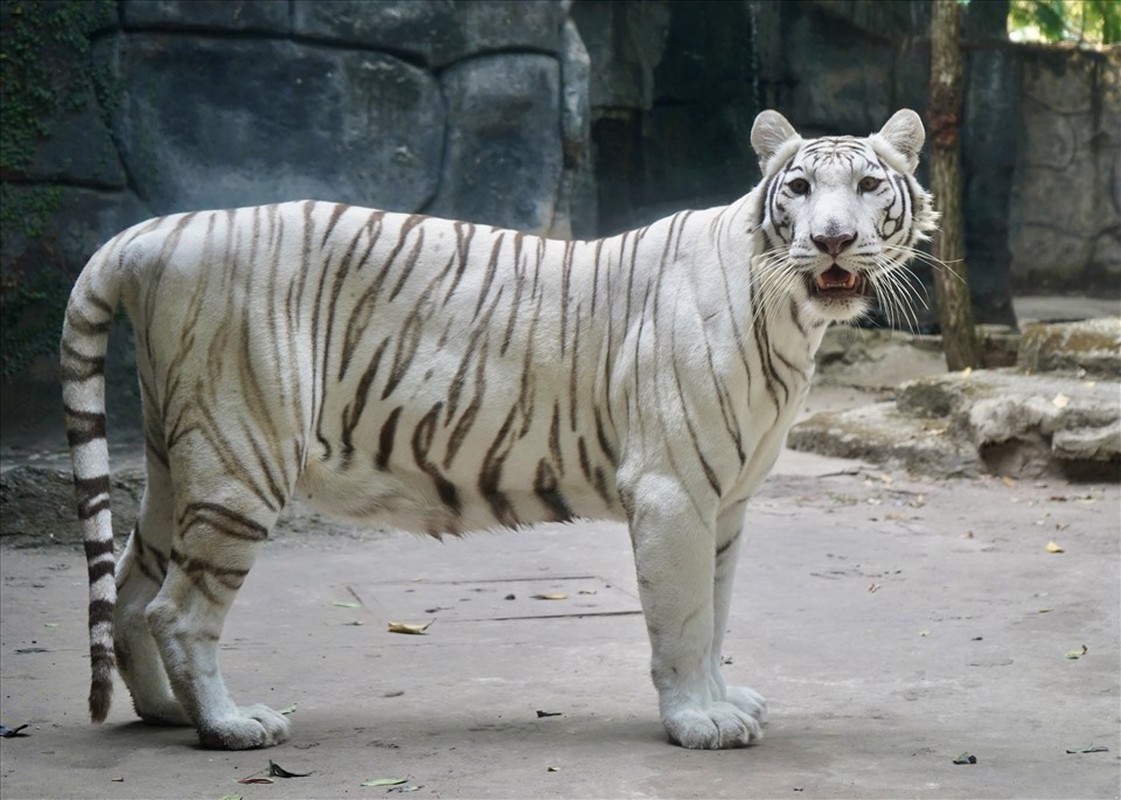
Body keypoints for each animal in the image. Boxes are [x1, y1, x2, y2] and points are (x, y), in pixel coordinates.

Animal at [61, 110, 937, 748]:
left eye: (867, 185)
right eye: (798, 187)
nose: (829, 239)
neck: (791, 316)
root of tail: (158, 231)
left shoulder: (724, 503)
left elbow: (714, 611)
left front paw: (725, 702)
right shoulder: (672, 492)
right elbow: (685, 619)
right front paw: (698, 721)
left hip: (182, 458)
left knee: (135, 588)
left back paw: (164, 712)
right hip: (244, 454)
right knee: (179, 609)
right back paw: (229, 725)